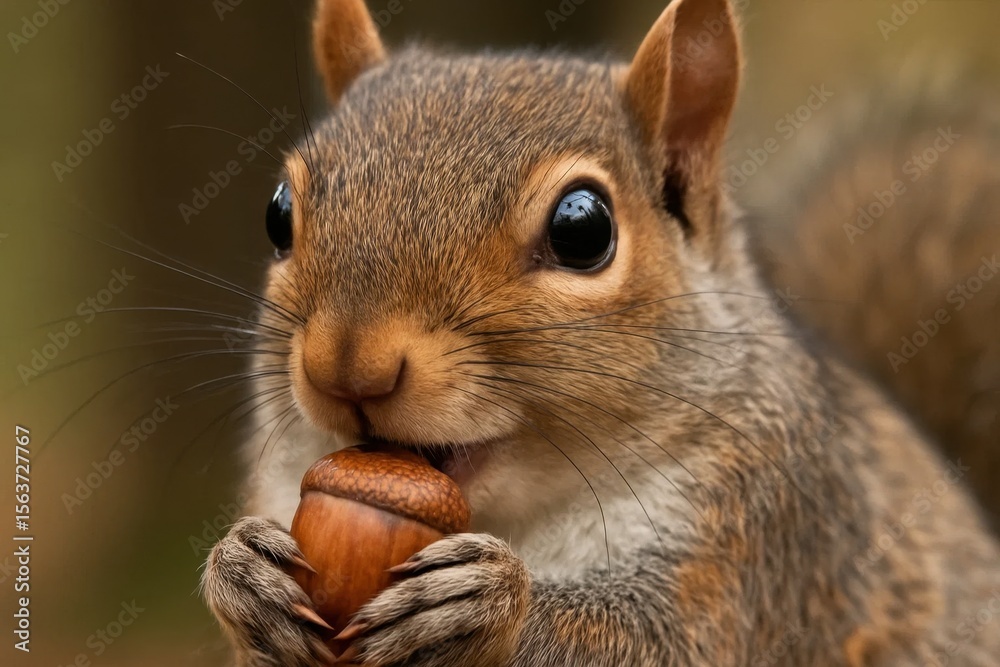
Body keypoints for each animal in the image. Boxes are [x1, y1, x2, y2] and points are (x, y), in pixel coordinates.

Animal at [201, 0, 1000, 665]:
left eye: (582, 230)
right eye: (278, 213)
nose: (346, 365)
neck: (517, 514)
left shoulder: (762, 539)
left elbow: (659, 643)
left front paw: (494, 606)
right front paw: (241, 574)